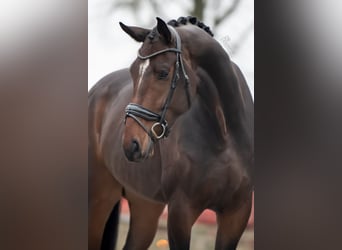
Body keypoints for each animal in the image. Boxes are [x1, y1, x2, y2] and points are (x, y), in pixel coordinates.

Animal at [89, 16, 254, 249]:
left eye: (163, 73)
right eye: (132, 71)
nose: (131, 145)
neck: (224, 137)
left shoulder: (237, 213)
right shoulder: (180, 211)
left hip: (145, 206)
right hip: (99, 198)